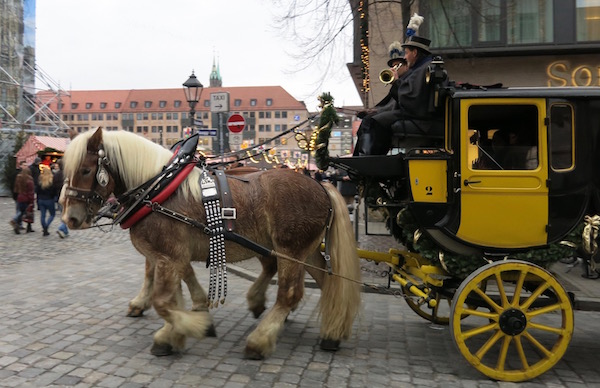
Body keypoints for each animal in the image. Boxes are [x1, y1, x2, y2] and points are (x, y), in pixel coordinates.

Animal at [61, 129, 360, 360]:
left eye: (86, 170)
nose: (70, 218)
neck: (158, 190)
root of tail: (320, 185)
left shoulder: (167, 256)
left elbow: (163, 302)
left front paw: (192, 327)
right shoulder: (172, 256)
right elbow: (175, 294)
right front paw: (181, 325)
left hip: (290, 249)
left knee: (289, 293)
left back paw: (260, 339)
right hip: (304, 252)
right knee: (325, 283)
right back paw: (331, 331)